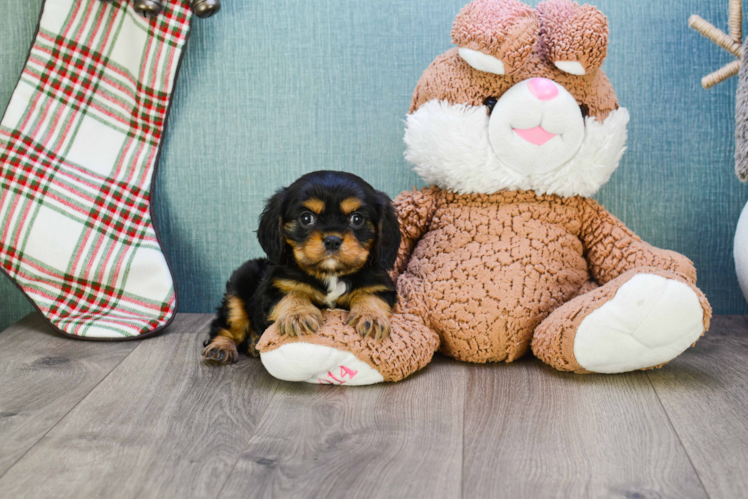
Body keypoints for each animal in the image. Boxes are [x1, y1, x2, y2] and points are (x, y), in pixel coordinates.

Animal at [203, 171, 404, 364]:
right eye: (306, 218)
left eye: (357, 218)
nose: (332, 240)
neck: (330, 273)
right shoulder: (275, 287)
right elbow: (292, 294)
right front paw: (298, 316)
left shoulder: (380, 285)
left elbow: (369, 295)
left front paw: (371, 317)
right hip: (239, 287)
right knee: (225, 327)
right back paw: (221, 348)